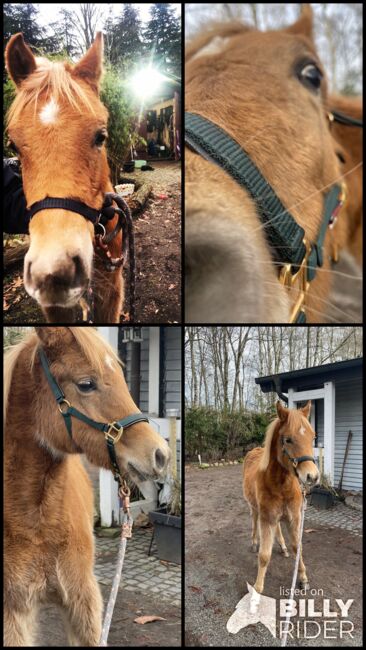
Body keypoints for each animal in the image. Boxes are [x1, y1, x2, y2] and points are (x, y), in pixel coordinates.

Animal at [243, 400, 318, 592]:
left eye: (312, 438)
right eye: (288, 439)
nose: (312, 477)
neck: (282, 486)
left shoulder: (294, 519)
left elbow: (297, 548)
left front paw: (303, 578)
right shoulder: (266, 518)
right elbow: (264, 555)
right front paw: (257, 589)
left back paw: (282, 546)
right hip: (255, 509)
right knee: (253, 521)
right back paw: (253, 542)